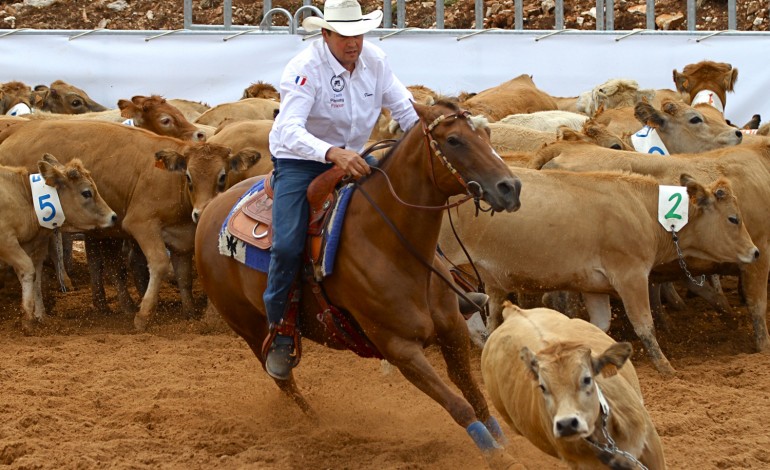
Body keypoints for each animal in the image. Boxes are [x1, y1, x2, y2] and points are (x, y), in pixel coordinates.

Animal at [0, 153, 115, 330]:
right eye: (86, 193)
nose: (113, 216)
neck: (23, 198)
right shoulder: (7, 241)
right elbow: (29, 270)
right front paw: (27, 319)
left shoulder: (32, 247)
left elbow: (35, 278)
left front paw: (40, 316)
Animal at [195, 101, 520, 464]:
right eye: (453, 140)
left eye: (487, 133)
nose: (511, 187)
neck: (387, 245)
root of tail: (210, 211)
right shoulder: (399, 348)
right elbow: (460, 407)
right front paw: (500, 459)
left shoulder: (453, 331)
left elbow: (476, 397)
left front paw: (507, 447)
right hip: (248, 327)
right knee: (283, 380)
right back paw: (319, 426)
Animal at [438, 167, 756, 376]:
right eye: (733, 218)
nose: (755, 252)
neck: (643, 210)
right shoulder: (630, 277)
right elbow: (644, 325)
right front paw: (666, 367)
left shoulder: (593, 286)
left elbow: (598, 326)